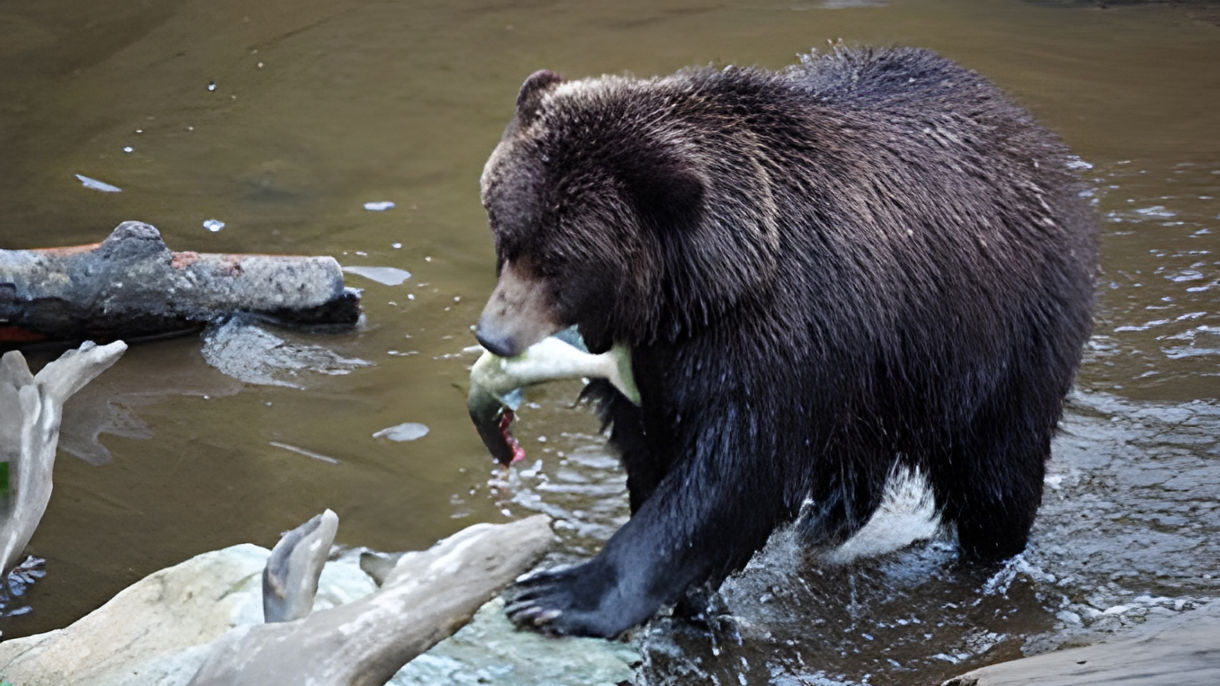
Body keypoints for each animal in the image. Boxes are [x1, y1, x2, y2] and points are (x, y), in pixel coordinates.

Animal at [474, 45, 1097, 638]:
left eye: (558, 262)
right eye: (507, 239)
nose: (493, 335)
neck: (701, 292)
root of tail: (1036, 136)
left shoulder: (779, 337)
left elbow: (730, 477)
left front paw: (558, 595)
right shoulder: (649, 357)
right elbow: (650, 451)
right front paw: (695, 598)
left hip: (1003, 333)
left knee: (997, 473)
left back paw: (988, 552)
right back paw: (827, 522)